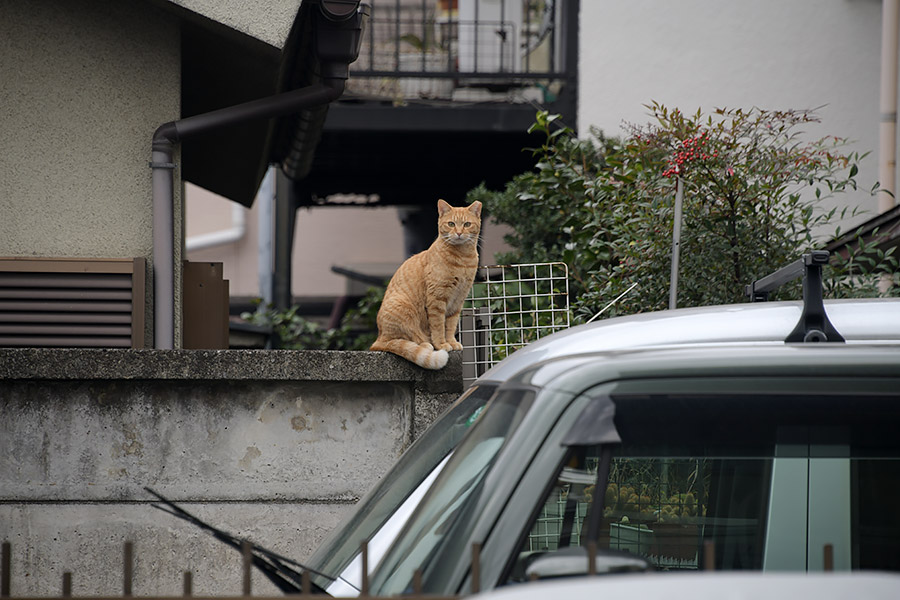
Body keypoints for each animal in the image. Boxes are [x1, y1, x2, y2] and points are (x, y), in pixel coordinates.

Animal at [370, 199, 482, 368]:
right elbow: (438, 326)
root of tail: (379, 337)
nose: (458, 233)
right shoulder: (437, 299)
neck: (463, 259)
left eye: (467, 224)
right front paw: (442, 344)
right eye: (451, 224)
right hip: (405, 309)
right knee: (407, 338)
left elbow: (450, 325)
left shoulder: (458, 300)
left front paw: (451, 342)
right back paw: (425, 345)